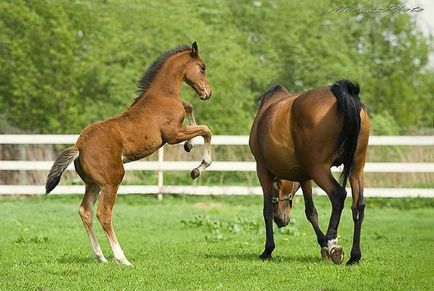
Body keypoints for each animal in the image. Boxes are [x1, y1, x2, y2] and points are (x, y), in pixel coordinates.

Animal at [45, 41, 212, 266]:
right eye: (202, 67)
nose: (208, 93)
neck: (162, 96)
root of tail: (79, 146)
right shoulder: (173, 135)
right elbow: (205, 129)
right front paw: (197, 167)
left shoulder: (178, 126)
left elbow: (188, 106)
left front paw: (190, 145)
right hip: (112, 180)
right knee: (103, 214)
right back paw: (121, 258)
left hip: (93, 184)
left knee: (85, 211)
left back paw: (100, 256)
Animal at [251, 79, 370, 264]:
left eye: (277, 186)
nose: (281, 220)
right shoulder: (304, 176)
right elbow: (311, 212)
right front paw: (323, 246)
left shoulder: (262, 169)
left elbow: (267, 211)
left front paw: (268, 250)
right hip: (356, 169)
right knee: (358, 206)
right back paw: (354, 256)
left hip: (319, 169)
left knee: (338, 194)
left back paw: (333, 242)